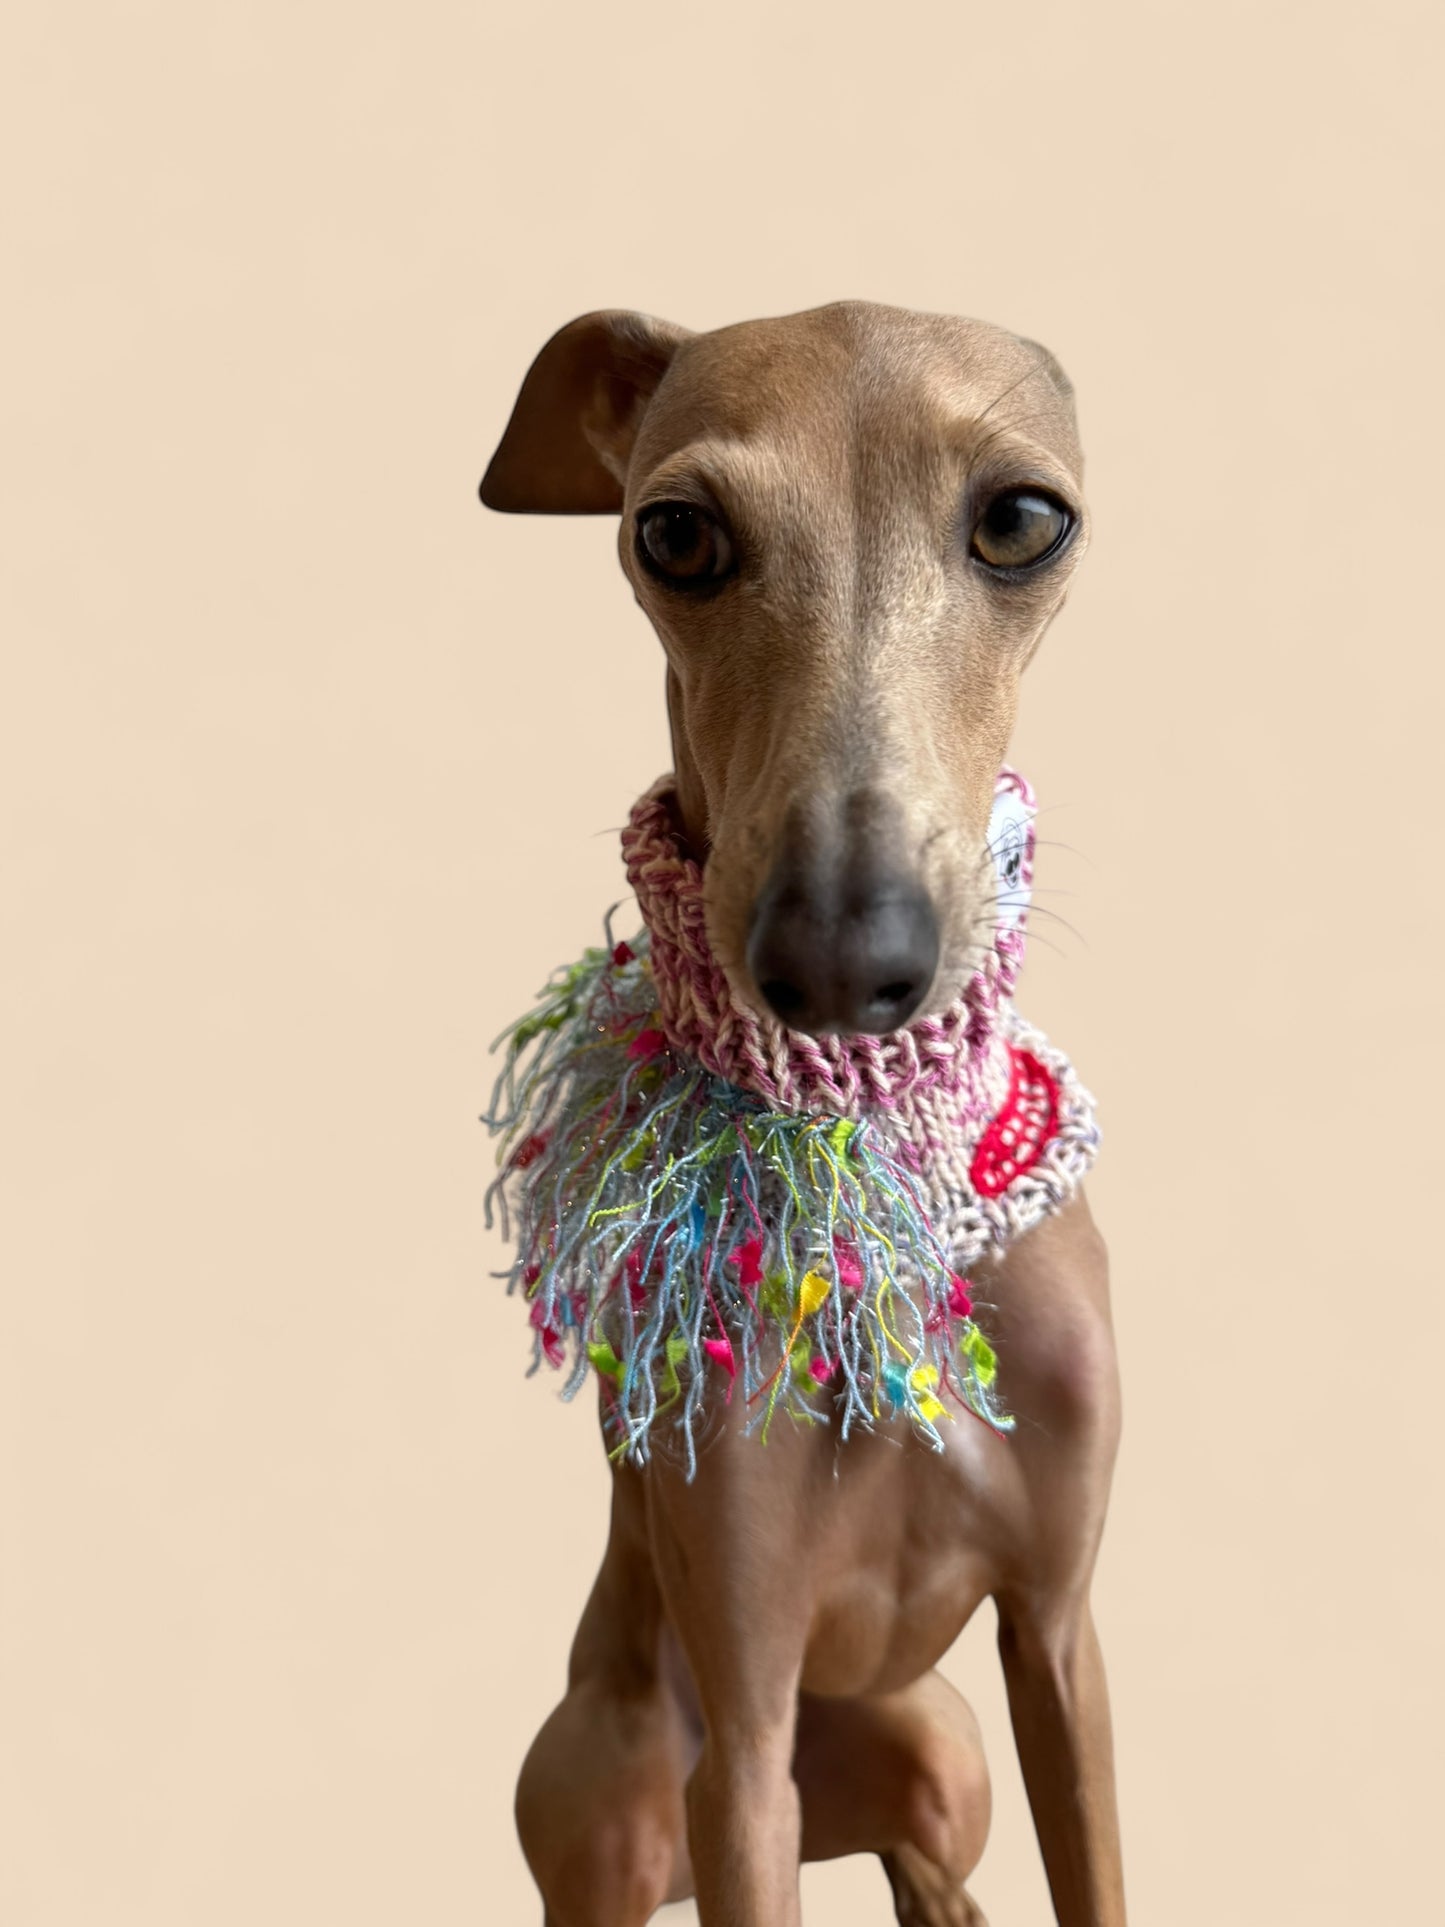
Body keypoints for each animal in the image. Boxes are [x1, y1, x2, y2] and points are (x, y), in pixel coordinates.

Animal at [478, 301, 1124, 1927]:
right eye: (676, 533)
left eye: (1021, 518)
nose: (841, 962)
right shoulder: (749, 1708)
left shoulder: (1059, 1637)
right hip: (625, 1787)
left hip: (938, 1747)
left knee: (925, 1852)